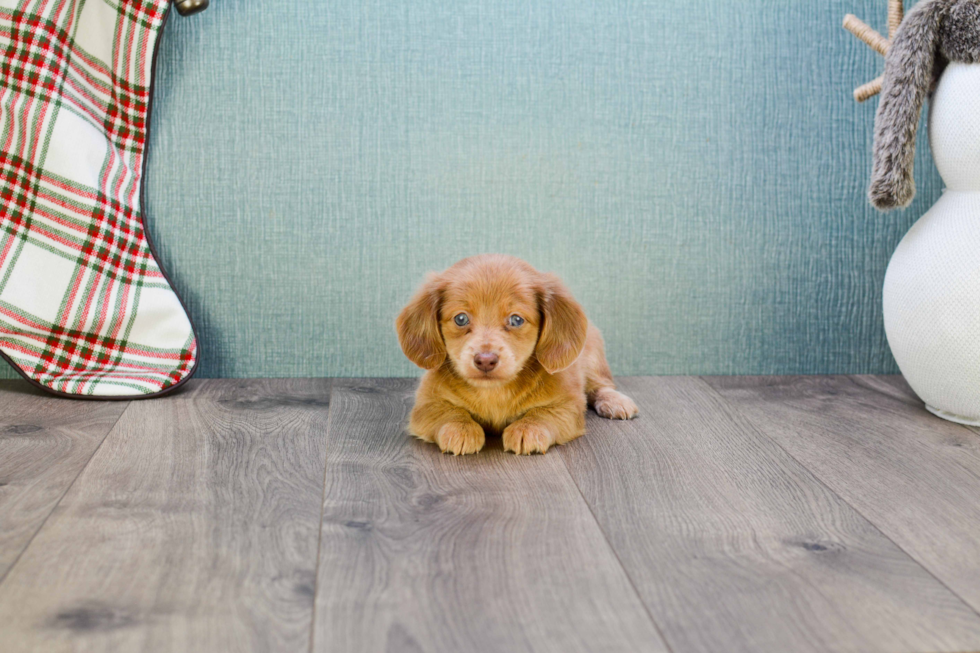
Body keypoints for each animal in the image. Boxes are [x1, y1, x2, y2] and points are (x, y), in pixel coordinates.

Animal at [394, 252, 640, 456]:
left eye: (516, 320)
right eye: (461, 318)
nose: (485, 360)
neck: (493, 391)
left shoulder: (568, 403)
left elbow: (542, 413)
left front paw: (527, 429)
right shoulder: (426, 404)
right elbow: (449, 412)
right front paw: (460, 429)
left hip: (593, 358)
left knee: (601, 386)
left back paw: (616, 401)